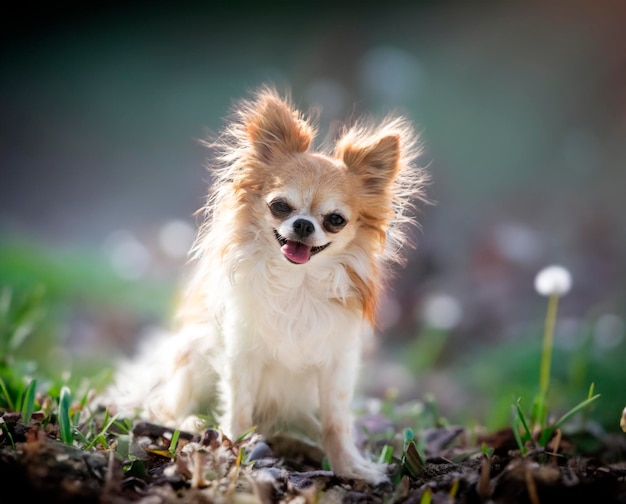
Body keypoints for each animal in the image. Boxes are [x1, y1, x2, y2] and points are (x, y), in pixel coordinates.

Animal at [108, 87, 428, 484]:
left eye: (335, 220)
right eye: (280, 206)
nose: (303, 224)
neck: (297, 283)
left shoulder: (337, 365)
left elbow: (336, 423)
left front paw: (350, 467)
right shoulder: (241, 356)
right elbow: (239, 409)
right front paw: (232, 450)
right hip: (194, 351)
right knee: (167, 409)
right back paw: (193, 422)